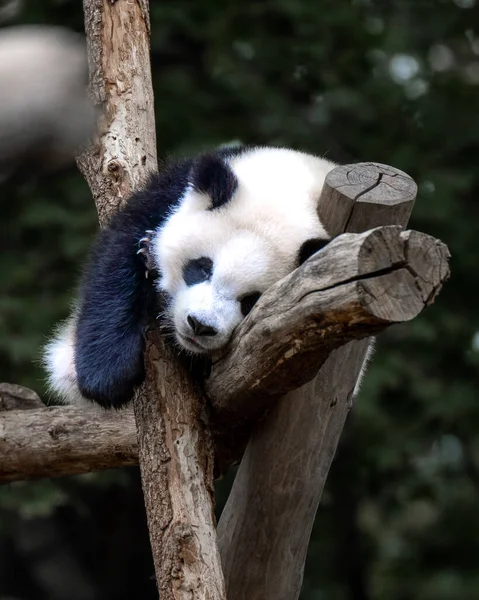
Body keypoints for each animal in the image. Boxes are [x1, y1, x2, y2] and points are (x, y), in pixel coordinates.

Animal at [44, 145, 338, 408]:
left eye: (251, 301)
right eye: (202, 268)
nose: (199, 325)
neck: (287, 183)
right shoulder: (173, 189)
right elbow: (118, 255)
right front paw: (106, 376)